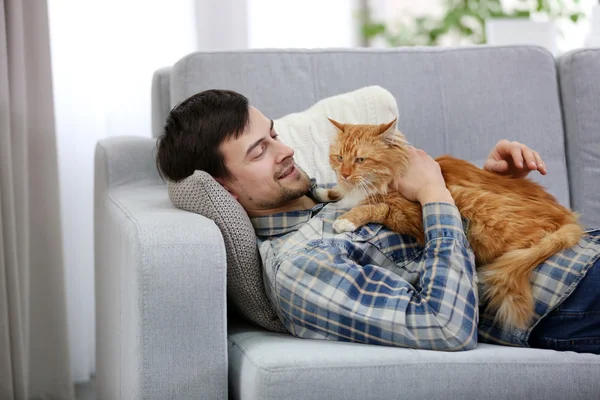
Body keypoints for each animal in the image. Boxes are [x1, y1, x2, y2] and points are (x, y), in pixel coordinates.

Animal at [322, 118, 584, 332]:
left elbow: (374, 208)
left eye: (360, 160)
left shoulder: (408, 213)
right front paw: (330, 192)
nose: (344, 174)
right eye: (340, 158)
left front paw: (346, 219)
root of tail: (568, 218)